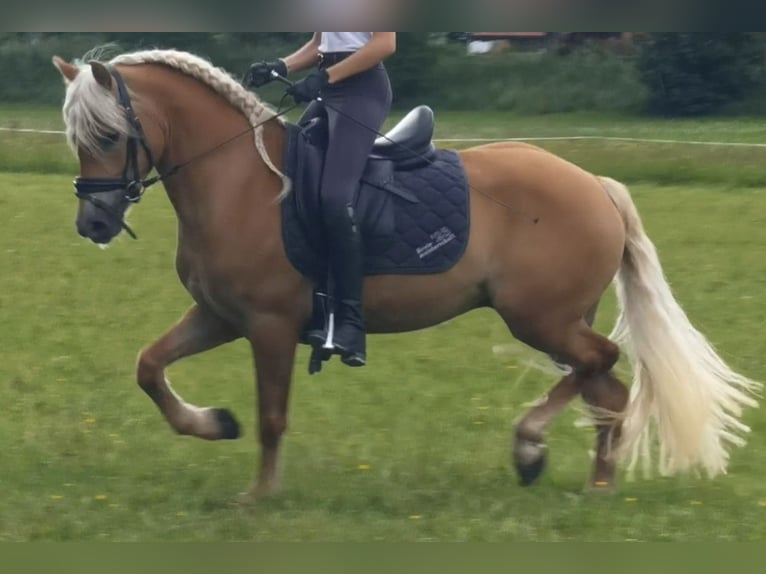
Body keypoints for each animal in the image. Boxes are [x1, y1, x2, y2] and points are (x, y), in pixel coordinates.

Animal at [53, 48, 760, 499]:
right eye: (76, 136)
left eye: (109, 134)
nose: (94, 222)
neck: (240, 183)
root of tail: (595, 184)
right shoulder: (220, 315)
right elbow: (149, 367)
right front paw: (213, 424)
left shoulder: (270, 325)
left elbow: (272, 415)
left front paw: (260, 495)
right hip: (559, 321)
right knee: (606, 389)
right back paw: (593, 483)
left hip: (540, 318)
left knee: (603, 365)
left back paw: (530, 444)